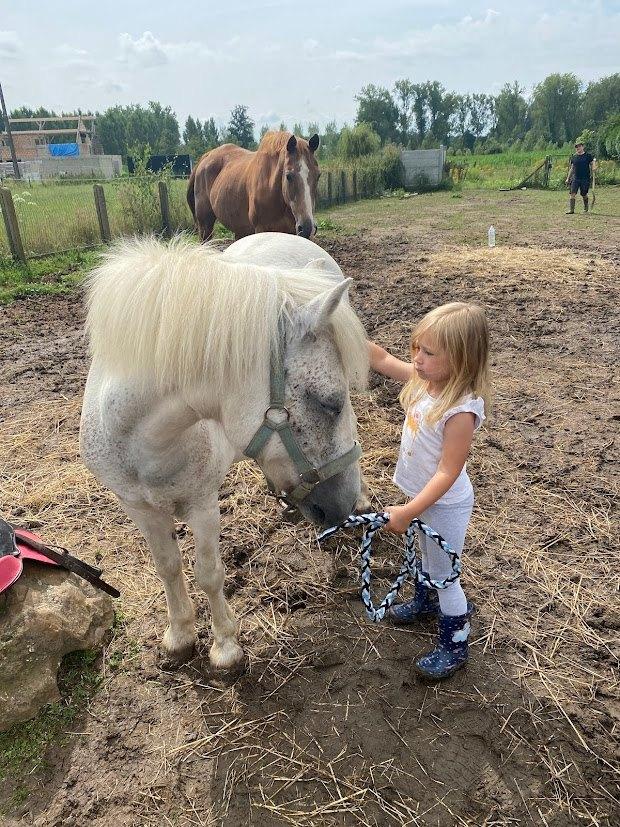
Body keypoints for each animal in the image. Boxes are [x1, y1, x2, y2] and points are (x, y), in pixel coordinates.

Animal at [80, 232, 368, 671]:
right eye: (330, 403)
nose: (344, 505)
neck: (141, 441)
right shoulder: (138, 507)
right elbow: (168, 567)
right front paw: (179, 634)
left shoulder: (203, 504)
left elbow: (209, 573)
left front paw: (225, 646)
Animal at [187, 131, 320, 243]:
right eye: (288, 176)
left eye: (318, 175)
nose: (307, 228)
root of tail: (206, 156)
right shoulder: (262, 230)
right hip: (205, 226)